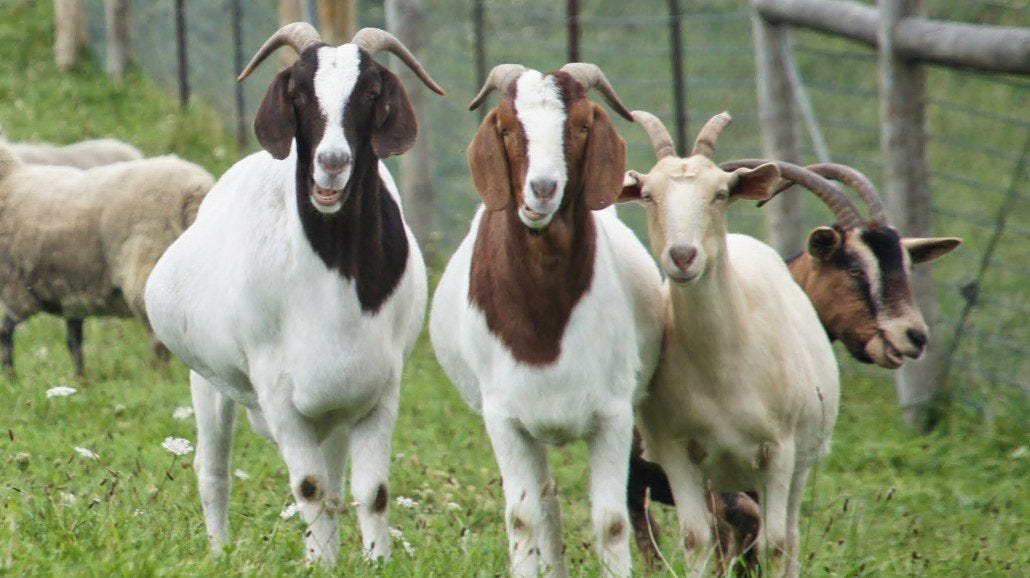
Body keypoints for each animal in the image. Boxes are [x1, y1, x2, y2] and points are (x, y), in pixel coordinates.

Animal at [144, 23, 444, 564]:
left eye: (370, 93)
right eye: (299, 93)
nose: (332, 162)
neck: (335, 280)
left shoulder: (379, 391)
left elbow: (371, 492)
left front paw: (372, 562)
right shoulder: (277, 391)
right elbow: (308, 487)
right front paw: (321, 564)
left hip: (333, 411)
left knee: (336, 483)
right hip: (208, 381)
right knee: (213, 470)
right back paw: (220, 551)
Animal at [429, 64, 665, 577]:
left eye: (580, 125)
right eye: (505, 127)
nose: (542, 189)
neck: (545, 320)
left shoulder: (614, 412)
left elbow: (611, 521)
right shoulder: (504, 418)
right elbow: (523, 517)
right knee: (546, 504)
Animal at [620, 111, 839, 576]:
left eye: (720, 193)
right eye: (648, 194)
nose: (683, 256)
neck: (724, 369)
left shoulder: (779, 451)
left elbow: (775, 543)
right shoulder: (677, 452)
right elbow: (695, 538)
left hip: (800, 461)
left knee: (791, 534)